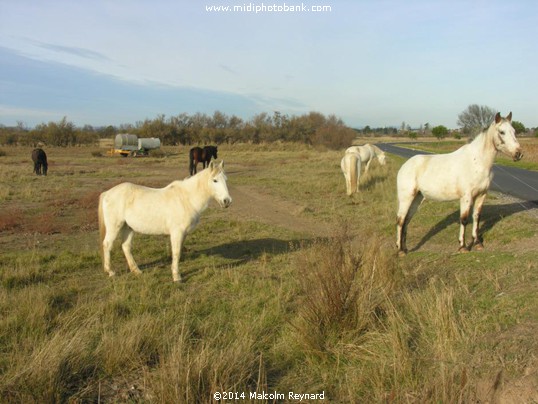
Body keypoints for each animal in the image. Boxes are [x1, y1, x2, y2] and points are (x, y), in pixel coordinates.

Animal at [98, 160, 230, 280]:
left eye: (226, 179)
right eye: (215, 180)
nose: (227, 201)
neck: (186, 199)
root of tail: (107, 193)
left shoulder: (183, 234)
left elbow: (178, 252)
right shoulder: (177, 233)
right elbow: (176, 252)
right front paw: (176, 277)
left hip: (128, 227)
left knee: (126, 246)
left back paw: (136, 271)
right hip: (115, 227)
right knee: (107, 244)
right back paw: (110, 271)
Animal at [394, 112, 520, 256]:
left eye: (514, 131)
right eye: (502, 132)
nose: (518, 153)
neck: (477, 161)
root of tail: (405, 166)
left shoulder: (481, 195)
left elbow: (476, 217)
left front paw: (477, 243)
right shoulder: (466, 197)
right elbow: (464, 219)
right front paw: (463, 247)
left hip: (417, 198)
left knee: (406, 220)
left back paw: (405, 248)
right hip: (406, 198)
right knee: (400, 220)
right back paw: (400, 251)